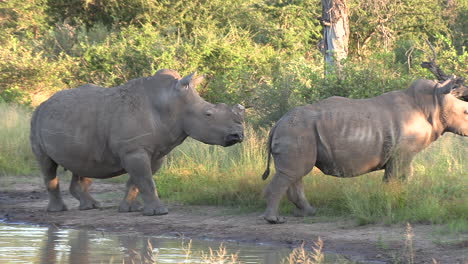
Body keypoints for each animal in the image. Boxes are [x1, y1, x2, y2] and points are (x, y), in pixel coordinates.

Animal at [30, 69, 245, 216]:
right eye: (208, 114)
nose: (238, 135)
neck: (170, 104)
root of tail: (44, 103)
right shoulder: (134, 149)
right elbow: (145, 180)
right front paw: (159, 212)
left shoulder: (154, 151)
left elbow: (138, 180)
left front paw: (131, 209)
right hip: (36, 117)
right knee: (47, 164)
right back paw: (59, 210)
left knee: (81, 164)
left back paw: (91, 206)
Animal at [262, 78, 468, 223]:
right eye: (466, 112)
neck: (434, 103)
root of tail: (277, 124)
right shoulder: (402, 153)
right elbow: (397, 177)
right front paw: (392, 203)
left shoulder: (400, 154)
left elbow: (399, 177)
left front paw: (394, 200)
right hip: (296, 131)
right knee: (294, 172)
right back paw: (275, 220)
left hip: (297, 131)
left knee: (295, 173)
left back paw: (309, 213)